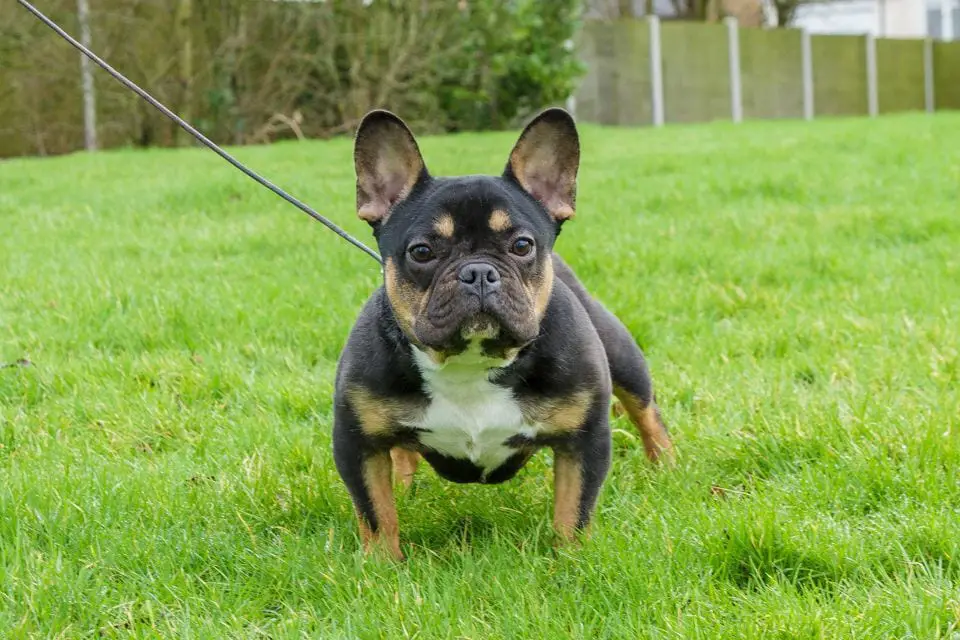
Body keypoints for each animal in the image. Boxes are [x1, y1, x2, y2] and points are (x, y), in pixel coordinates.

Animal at [334, 107, 672, 556]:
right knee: (402, 454)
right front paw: (383, 564)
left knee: (647, 413)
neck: (471, 363)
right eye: (421, 252)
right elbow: (375, 513)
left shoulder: (585, 440)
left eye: (522, 246)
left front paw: (571, 560)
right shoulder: (357, 443)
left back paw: (669, 469)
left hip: (623, 358)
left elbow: (574, 511)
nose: (478, 271)